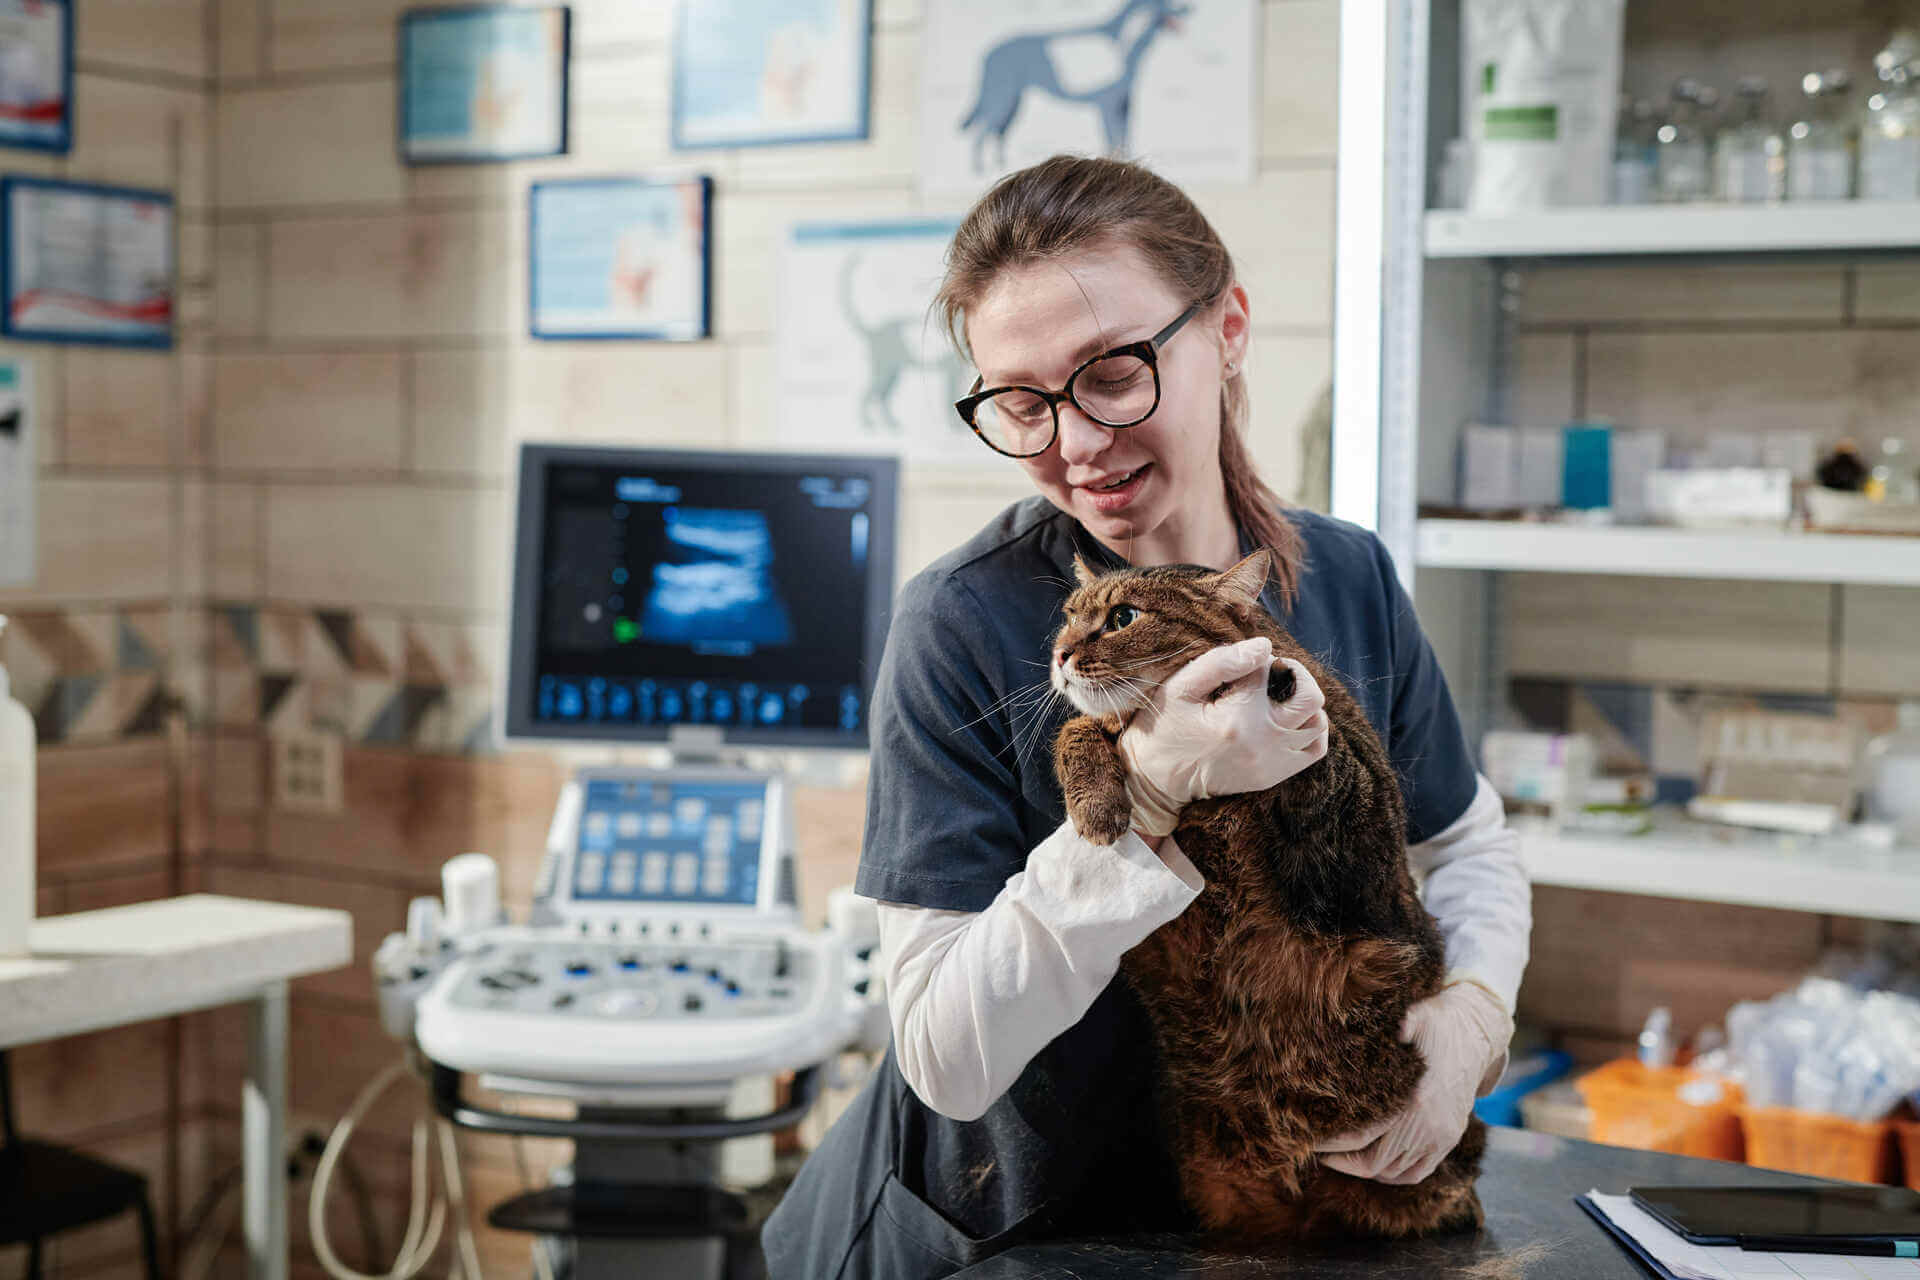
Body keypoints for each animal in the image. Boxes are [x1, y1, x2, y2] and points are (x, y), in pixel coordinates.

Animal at [1052, 548, 1482, 1243]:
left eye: (1122, 618)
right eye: (1068, 616)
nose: (1060, 653)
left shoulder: (1361, 843)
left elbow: (1327, 755)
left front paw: (1272, 682)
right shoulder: (1105, 728)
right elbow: (1080, 728)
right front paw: (1096, 800)